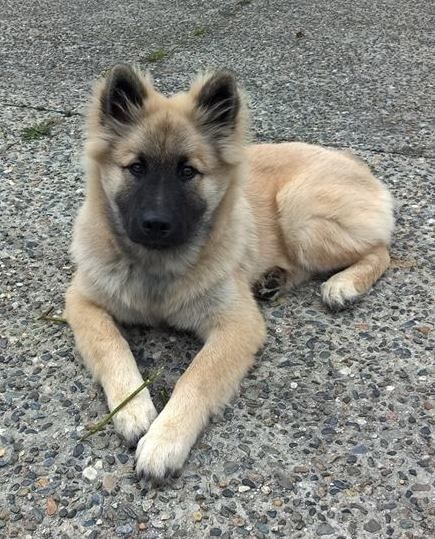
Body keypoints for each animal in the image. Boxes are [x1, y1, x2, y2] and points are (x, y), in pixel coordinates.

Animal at [65, 64, 394, 481]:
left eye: (187, 171)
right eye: (136, 168)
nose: (155, 224)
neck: (158, 267)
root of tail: (355, 162)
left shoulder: (237, 325)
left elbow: (197, 377)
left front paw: (164, 439)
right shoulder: (82, 301)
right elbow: (111, 345)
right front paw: (132, 407)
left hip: (299, 210)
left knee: (381, 250)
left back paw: (343, 284)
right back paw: (273, 280)